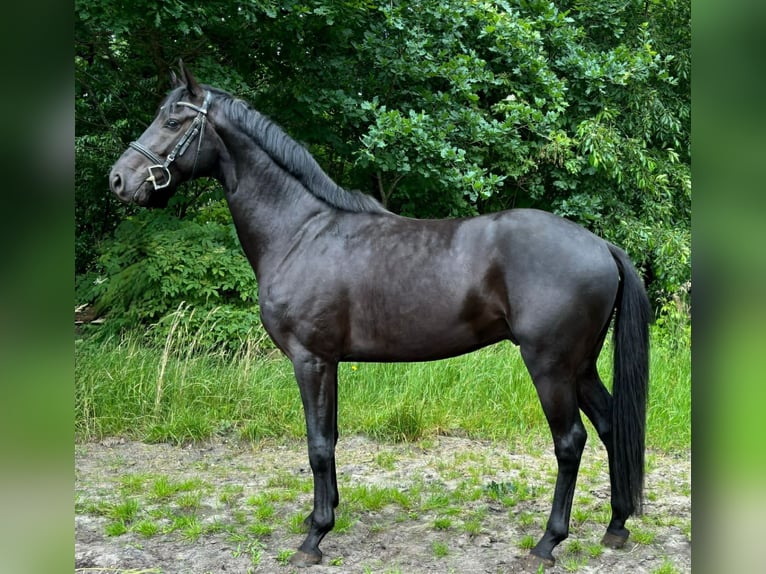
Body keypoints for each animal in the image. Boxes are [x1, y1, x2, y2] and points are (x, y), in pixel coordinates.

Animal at [108, 64, 652, 572]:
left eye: (173, 120)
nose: (118, 179)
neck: (301, 232)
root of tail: (599, 244)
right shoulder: (329, 363)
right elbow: (330, 438)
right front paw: (322, 517)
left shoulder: (310, 360)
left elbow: (318, 444)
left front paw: (314, 538)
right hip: (580, 366)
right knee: (610, 427)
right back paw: (616, 526)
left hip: (550, 367)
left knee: (571, 441)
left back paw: (547, 543)